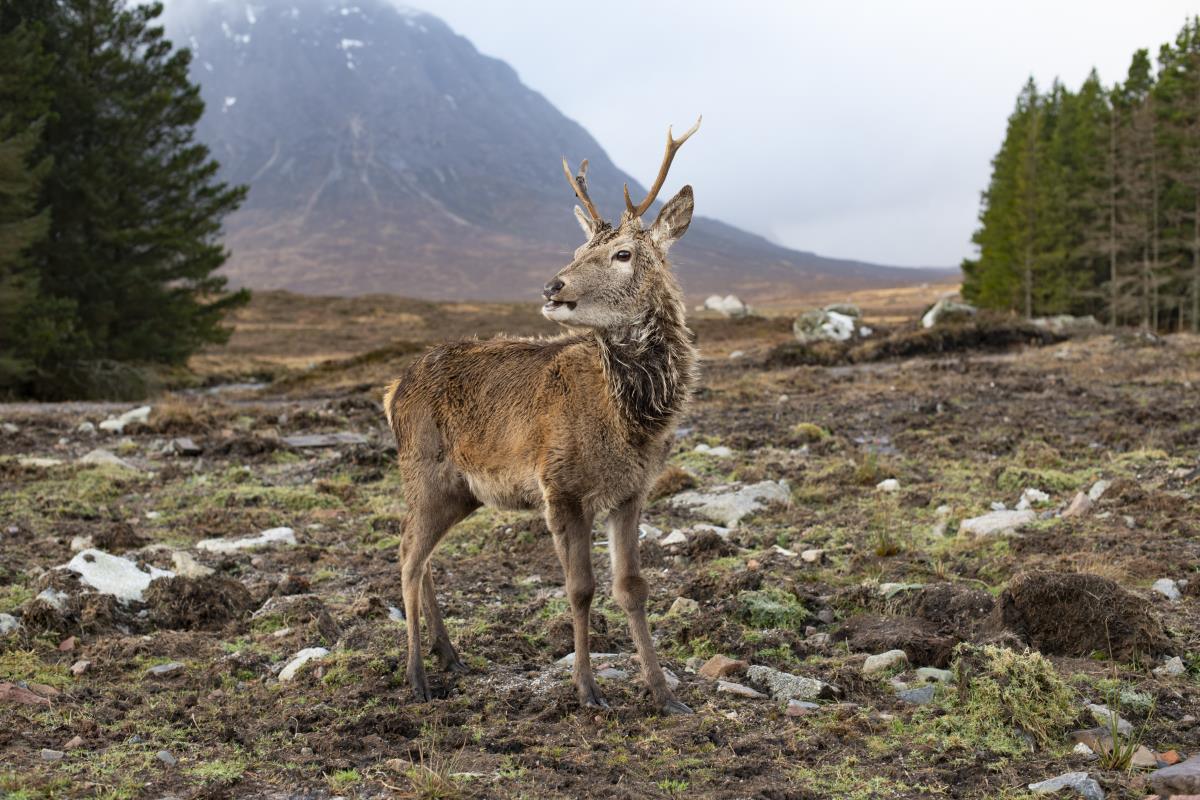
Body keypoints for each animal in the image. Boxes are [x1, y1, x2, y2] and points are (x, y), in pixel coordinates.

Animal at [383, 118, 702, 715]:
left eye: (623, 253)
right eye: (577, 247)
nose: (552, 286)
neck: (629, 420)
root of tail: (391, 391)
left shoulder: (632, 492)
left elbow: (633, 587)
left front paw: (664, 693)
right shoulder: (560, 487)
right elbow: (580, 589)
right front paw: (588, 690)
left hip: (460, 491)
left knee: (420, 549)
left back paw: (448, 654)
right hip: (425, 469)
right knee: (408, 554)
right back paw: (416, 675)